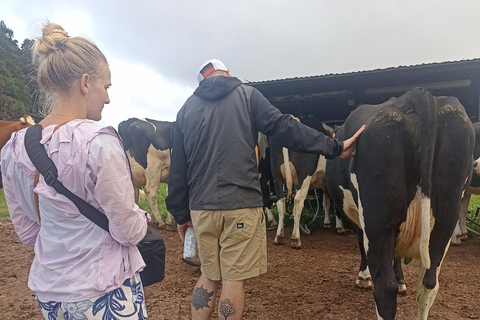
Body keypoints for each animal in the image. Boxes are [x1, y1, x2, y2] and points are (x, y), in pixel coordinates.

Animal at [322, 87, 472, 320]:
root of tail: (417, 94)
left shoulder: (361, 219)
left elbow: (361, 244)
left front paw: (363, 277)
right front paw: (402, 281)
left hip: (378, 221)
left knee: (385, 288)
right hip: (446, 219)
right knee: (429, 284)